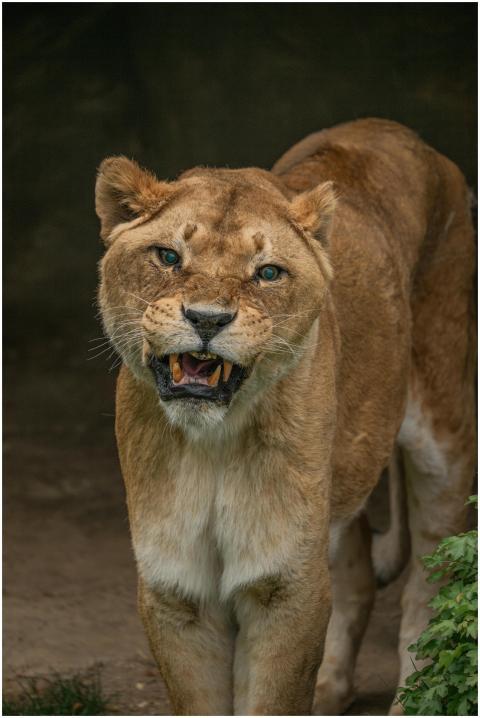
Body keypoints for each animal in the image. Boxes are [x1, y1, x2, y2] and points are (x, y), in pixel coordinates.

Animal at [95, 118, 475, 715]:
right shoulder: (175, 589)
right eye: (168, 257)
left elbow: (273, 694)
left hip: (445, 442)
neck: (214, 443)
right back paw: (329, 690)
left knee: (430, 584)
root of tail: (402, 132)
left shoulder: (286, 586)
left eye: (268, 272)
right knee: (357, 575)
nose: (207, 319)